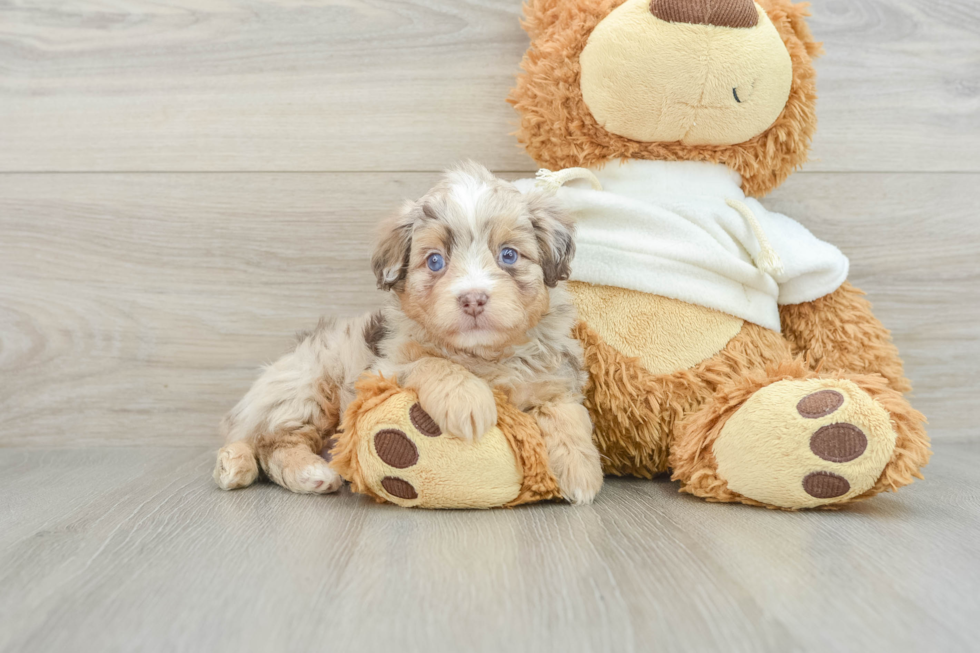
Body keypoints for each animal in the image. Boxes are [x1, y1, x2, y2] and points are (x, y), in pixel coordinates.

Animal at [216, 162, 604, 504]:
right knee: (272, 442)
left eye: (508, 255)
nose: (473, 299)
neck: (482, 355)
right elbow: (433, 364)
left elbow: (567, 413)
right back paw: (310, 473)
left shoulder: (555, 375)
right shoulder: (383, 368)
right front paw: (468, 400)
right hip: (307, 388)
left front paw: (580, 471)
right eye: (434, 261)